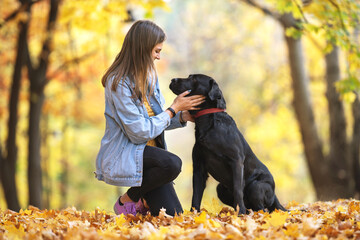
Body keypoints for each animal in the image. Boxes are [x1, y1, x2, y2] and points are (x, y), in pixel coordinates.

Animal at [169, 73, 286, 214]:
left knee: (263, 209)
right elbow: (196, 194)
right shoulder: (198, 167)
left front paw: (240, 213)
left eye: (194, 78)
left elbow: (237, 189)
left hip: (256, 186)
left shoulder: (236, 161)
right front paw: (193, 214)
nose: (172, 79)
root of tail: (275, 196)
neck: (208, 123)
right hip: (220, 189)